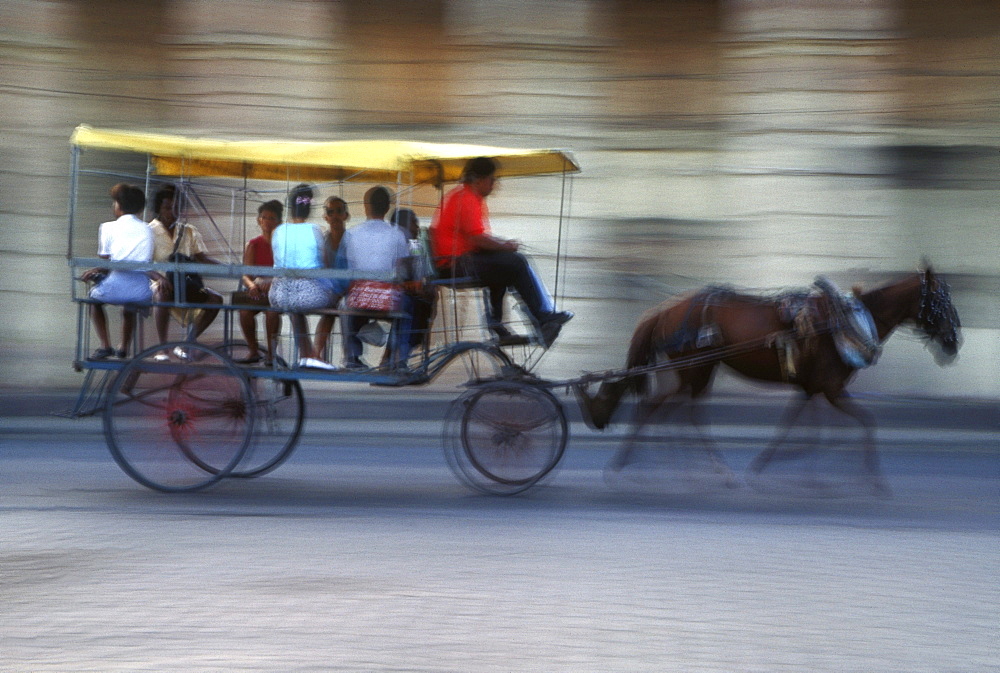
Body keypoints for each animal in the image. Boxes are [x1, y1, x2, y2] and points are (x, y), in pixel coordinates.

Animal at [576, 264, 964, 494]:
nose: (954, 342)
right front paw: (870, 477)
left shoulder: (812, 388)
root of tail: (664, 309)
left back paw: (675, 468)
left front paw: (802, 472)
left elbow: (806, 430)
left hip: (695, 370)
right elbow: (866, 422)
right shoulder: (831, 388)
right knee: (670, 412)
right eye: (941, 300)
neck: (844, 322)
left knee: (672, 411)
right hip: (696, 368)